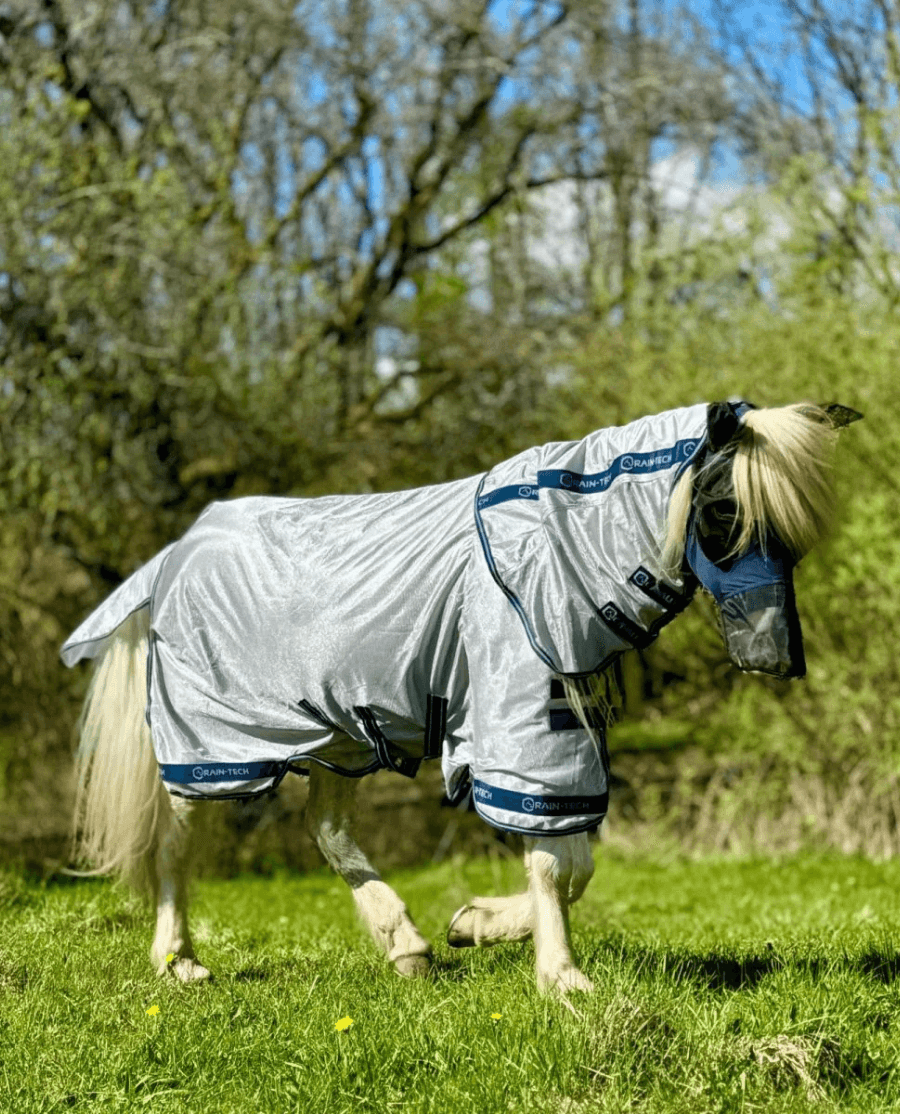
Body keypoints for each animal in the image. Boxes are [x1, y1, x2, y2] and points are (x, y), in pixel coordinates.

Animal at [61, 399, 859, 994]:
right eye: (723, 511)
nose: (774, 657)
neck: (542, 549)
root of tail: (177, 552)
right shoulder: (527, 723)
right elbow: (558, 863)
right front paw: (560, 977)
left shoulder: (563, 720)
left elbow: (575, 863)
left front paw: (473, 925)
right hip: (213, 745)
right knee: (174, 842)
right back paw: (180, 961)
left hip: (339, 733)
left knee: (328, 830)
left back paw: (405, 944)